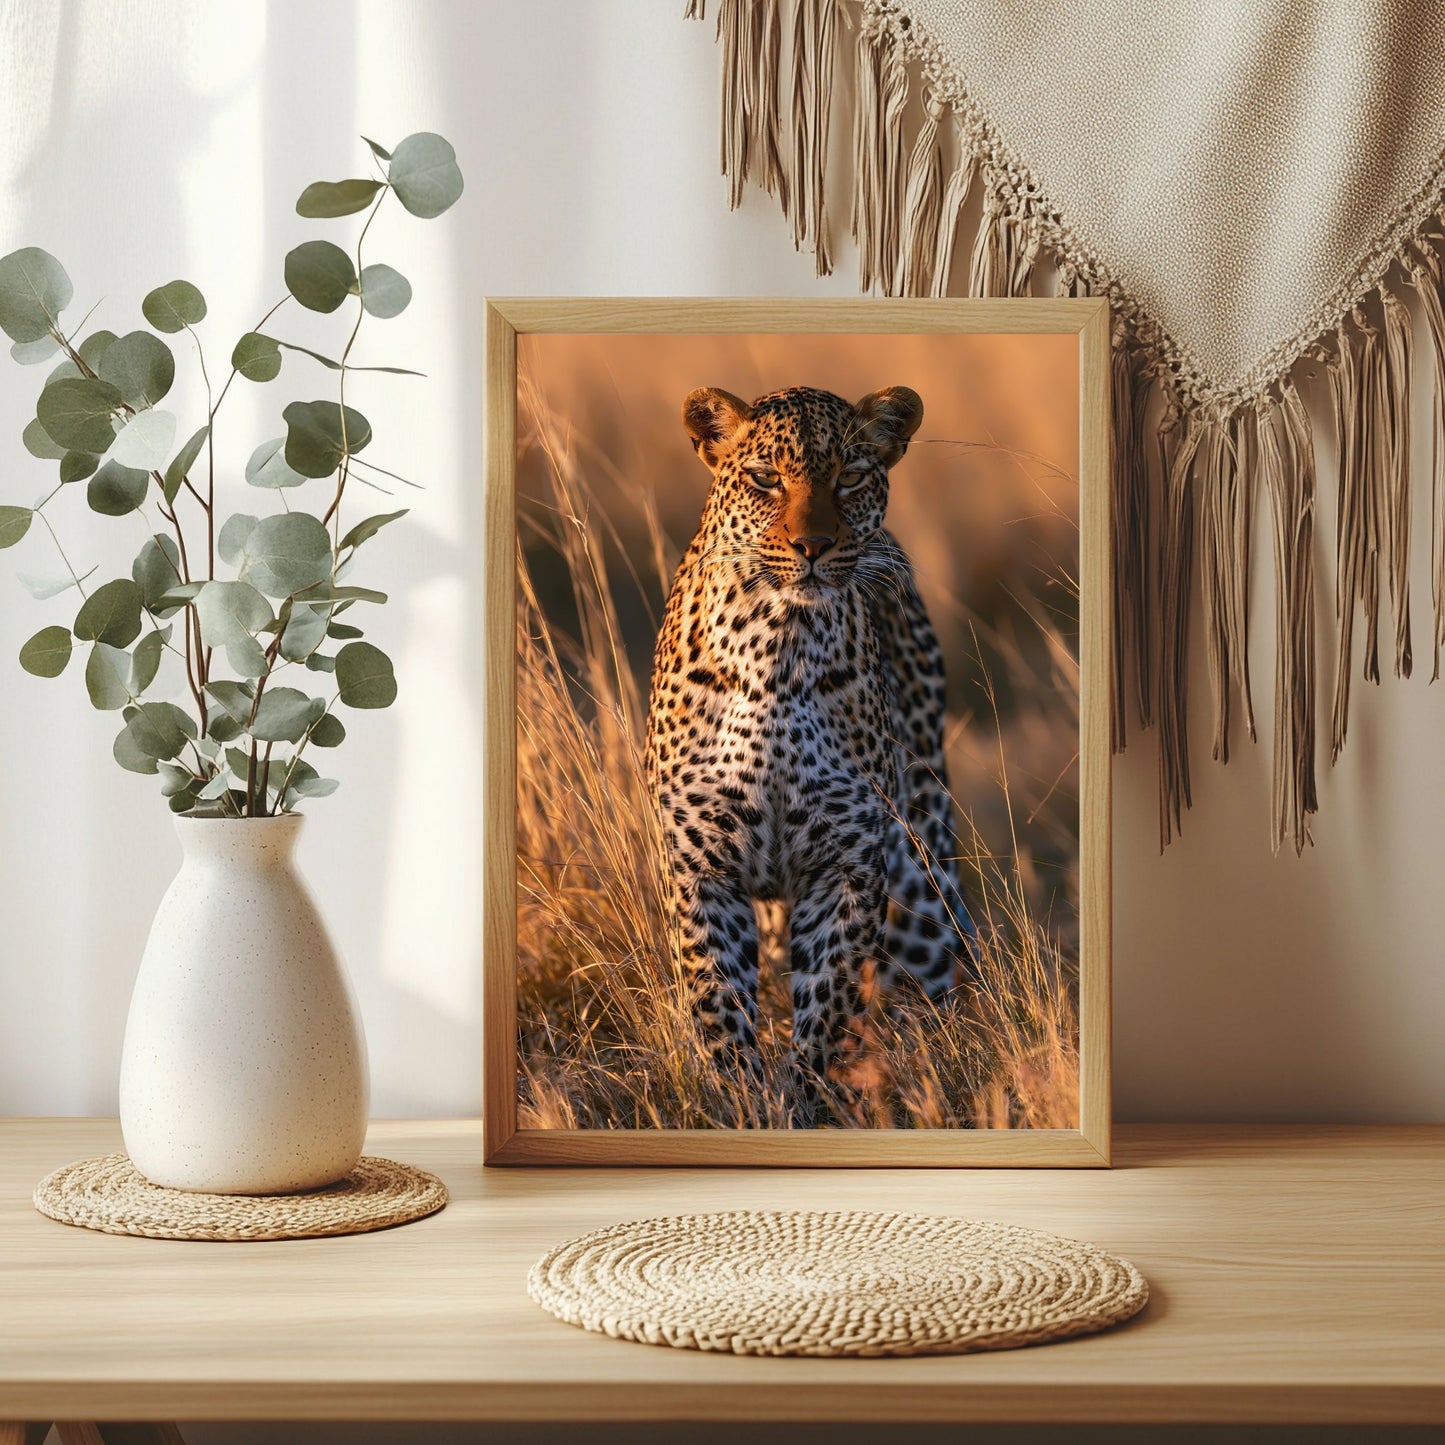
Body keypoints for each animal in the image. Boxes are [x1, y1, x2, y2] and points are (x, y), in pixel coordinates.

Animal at [643, 382, 978, 1121]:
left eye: (849, 476)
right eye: (765, 478)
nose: (814, 546)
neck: (778, 644)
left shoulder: (847, 868)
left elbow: (828, 1007)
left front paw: (805, 1108)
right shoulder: (702, 868)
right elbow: (718, 1003)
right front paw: (740, 1105)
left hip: (923, 876)